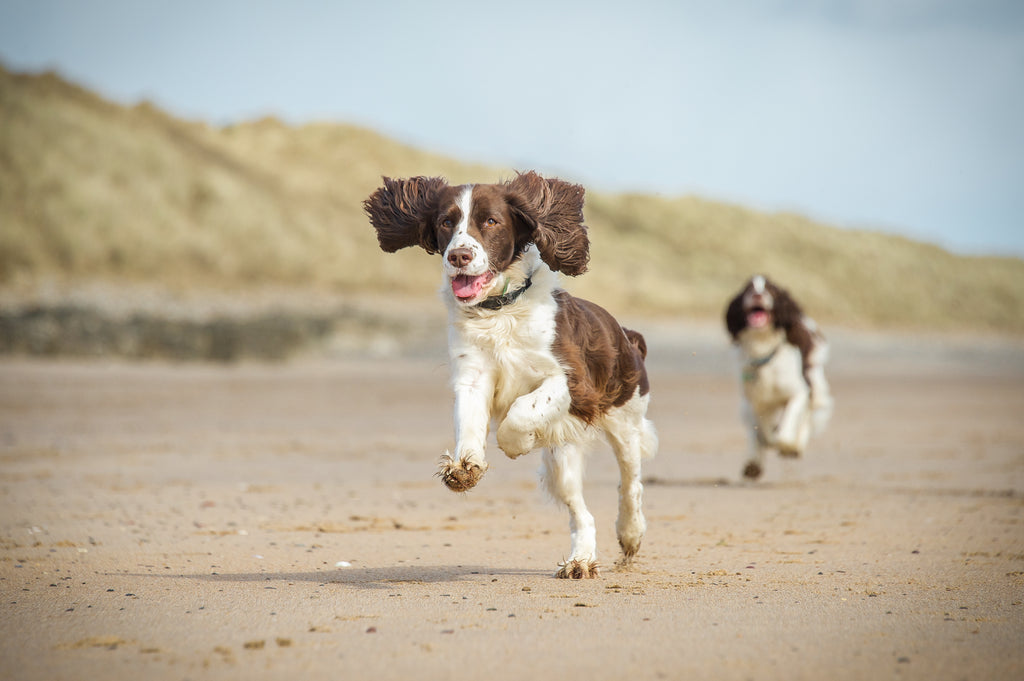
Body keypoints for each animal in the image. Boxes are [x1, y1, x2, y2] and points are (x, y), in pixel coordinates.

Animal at [364, 173, 659, 577]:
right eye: (446, 222)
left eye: (491, 221)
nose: (459, 256)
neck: (499, 311)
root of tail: (627, 335)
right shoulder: (472, 375)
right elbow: (470, 423)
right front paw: (465, 468)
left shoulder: (572, 381)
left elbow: (521, 412)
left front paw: (517, 443)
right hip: (563, 461)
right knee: (581, 512)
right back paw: (580, 560)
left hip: (624, 421)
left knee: (631, 483)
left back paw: (630, 535)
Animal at [724, 274, 835, 477]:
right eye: (748, 289)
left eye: (771, 290)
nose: (758, 294)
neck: (763, 349)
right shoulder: (754, 401)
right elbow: (761, 431)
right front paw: (765, 443)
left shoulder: (799, 392)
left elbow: (787, 427)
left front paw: (787, 445)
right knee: (754, 432)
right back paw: (753, 463)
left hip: (815, 384)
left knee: (807, 416)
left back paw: (795, 446)